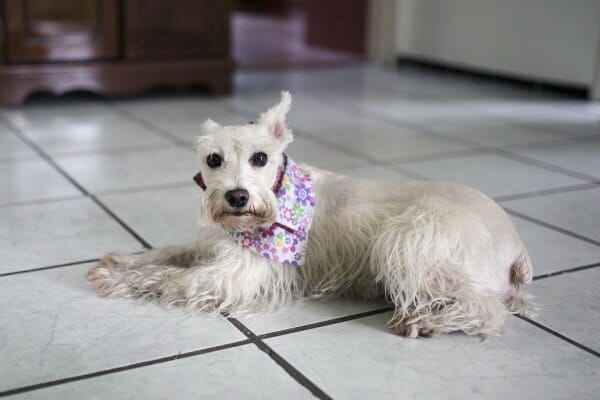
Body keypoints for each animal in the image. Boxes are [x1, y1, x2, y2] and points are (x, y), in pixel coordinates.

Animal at [86, 91, 532, 338]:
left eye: (260, 157)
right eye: (213, 159)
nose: (236, 197)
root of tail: (517, 245)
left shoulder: (234, 274)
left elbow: (172, 279)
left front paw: (117, 278)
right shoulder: (213, 246)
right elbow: (169, 254)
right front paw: (122, 261)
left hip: (407, 242)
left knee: (487, 311)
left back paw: (428, 322)